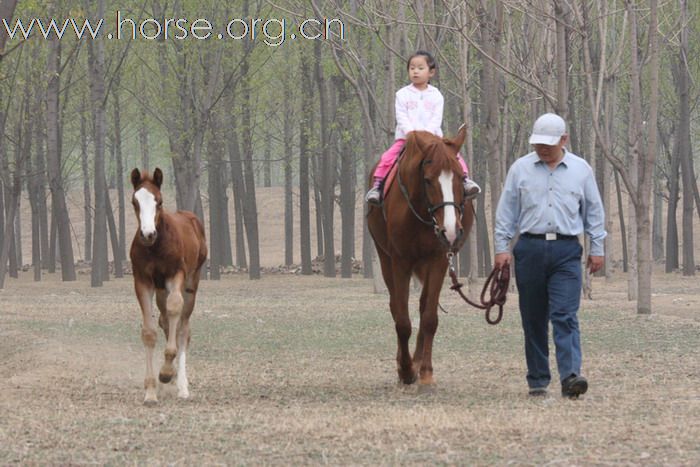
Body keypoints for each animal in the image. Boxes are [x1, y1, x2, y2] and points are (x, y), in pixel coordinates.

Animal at [130, 169, 208, 406]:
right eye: (134, 202)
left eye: (159, 201)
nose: (148, 234)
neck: (156, 248)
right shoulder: (143, 281)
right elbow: (149, 332)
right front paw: (151, 391)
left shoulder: (176, 275)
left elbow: (175, 310)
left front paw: (165, 373)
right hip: (160, 290)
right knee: (165, 322)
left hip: (191, 284)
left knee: (183, 328)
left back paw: (181, 385)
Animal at [366, 127, 476, 388]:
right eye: (428, 180)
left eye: (460, 178)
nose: (450, 230)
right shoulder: (400, 261)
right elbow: (402, 320)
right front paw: (405, 370)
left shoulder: (439, 259)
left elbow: (429, 318)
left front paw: (425, 371)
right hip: (384, 258)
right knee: (396, 306)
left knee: (424, 304)